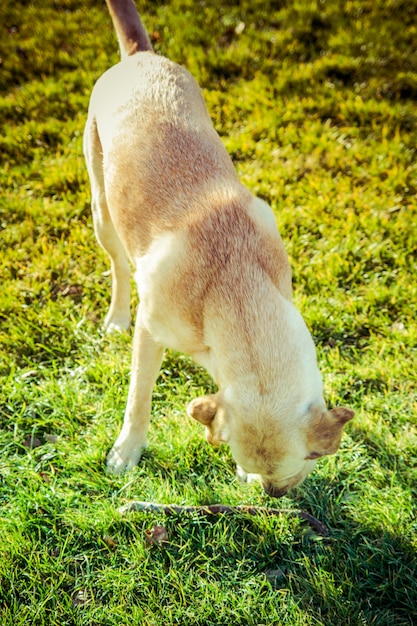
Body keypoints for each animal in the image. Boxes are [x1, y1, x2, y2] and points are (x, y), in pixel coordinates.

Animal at [83, 0, 352, 498]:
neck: (233, 282)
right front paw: (128, 450)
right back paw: (115, 316)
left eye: (306, 464)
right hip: (101, 213)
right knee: (119, 267)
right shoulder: (150, 333)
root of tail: (139, 56)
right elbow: (138, 399)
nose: (273, 495)